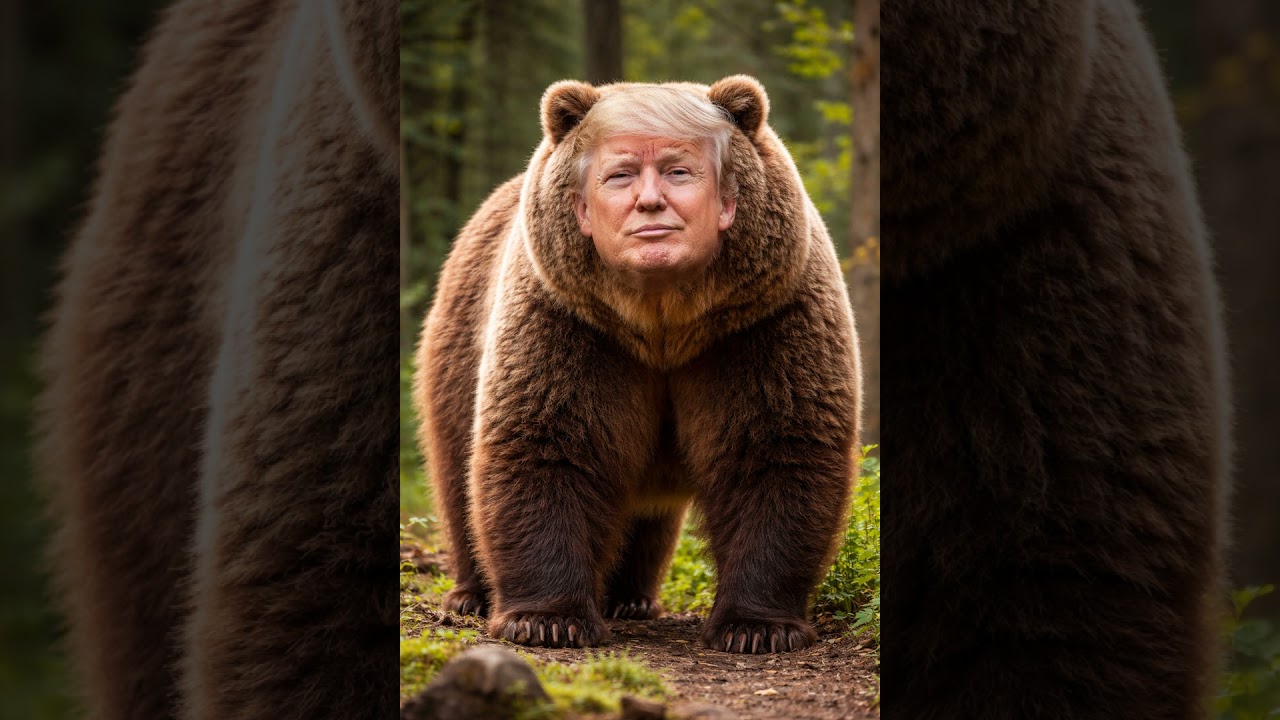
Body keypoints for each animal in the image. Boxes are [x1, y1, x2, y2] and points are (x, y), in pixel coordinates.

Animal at [413, 76, 861, 653]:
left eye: (677, 171)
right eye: (621, 174)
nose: (649, 205)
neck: (662, 321)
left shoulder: (764, 322)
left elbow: (775, 447)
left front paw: (758, 627)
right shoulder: (569, 322)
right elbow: (549, 442)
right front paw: (546, 619)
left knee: (648, 517)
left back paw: (630, 597)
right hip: (462, 338)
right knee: (455, 468)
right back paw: (471, 593)